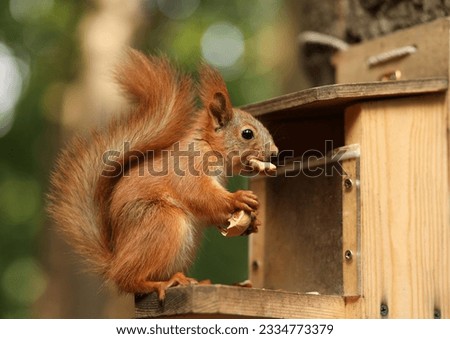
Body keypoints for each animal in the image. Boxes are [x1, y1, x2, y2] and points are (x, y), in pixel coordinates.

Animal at [47, 50, 276, 300]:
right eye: (247, 133)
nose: (274, 152)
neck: (207, 145)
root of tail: (114, 260)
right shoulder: (188, 167)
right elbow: (200, 195)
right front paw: (238, 198)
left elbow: (211, 212)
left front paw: (252, 223)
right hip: (162, 223)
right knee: (128, 279)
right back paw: (163, 283)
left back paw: (196, 281)